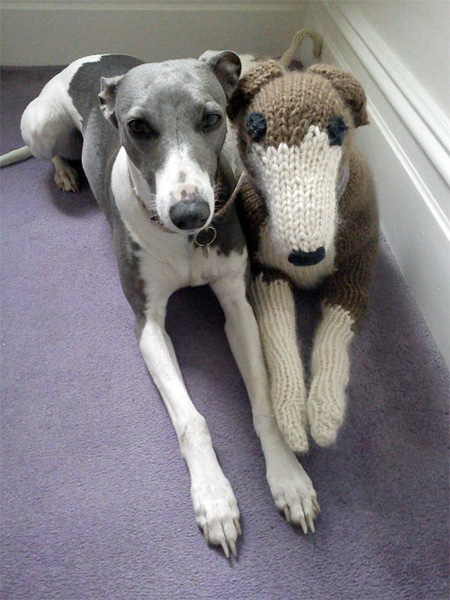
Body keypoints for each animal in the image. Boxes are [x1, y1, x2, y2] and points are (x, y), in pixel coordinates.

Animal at [6, 54, 320, 556]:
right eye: (137, 127)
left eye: (212, 118)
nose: (191, 214)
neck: (187, 242)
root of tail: (89, 63)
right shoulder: (148, 326)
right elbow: (192, 420)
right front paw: (214, 498)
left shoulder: (238, 306)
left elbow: (264, 402)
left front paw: (289, 478)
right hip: (41, 125)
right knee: (52, 150)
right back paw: (65, 172)